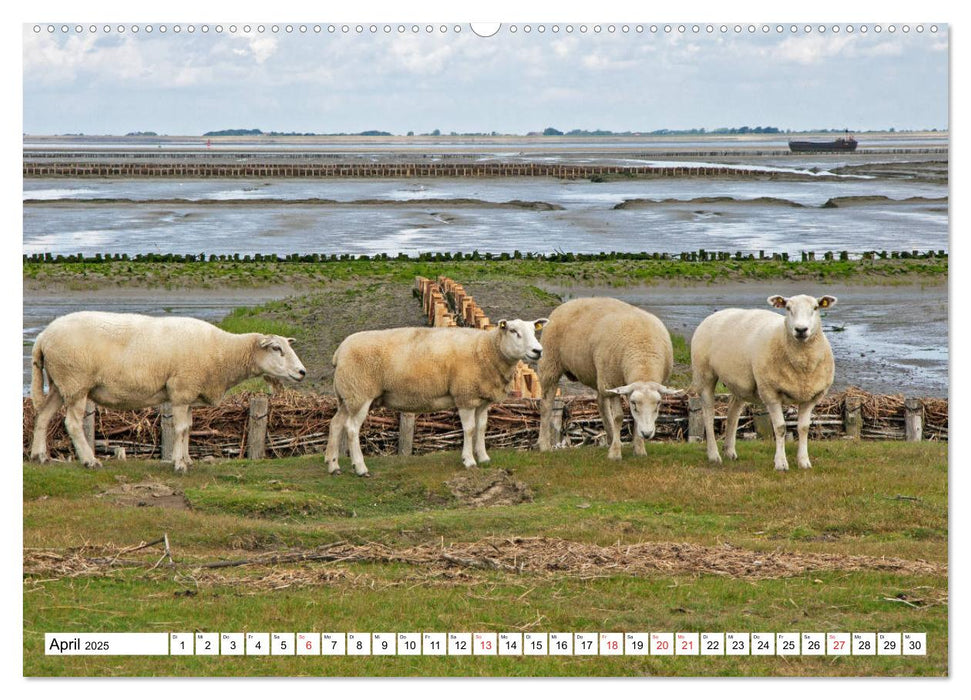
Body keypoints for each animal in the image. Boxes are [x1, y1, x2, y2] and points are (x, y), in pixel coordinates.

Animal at [30, 314, 306, 474]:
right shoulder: (181, 389)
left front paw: (187, 459)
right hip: (76, 382)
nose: (302, 372)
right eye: (277, 349)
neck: (223, 352)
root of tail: (43, 337)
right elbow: (181, 429)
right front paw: (180, 464)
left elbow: (189, 428)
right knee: (73, 423)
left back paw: (39, 456)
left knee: (43, 416)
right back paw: (89, 460)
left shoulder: (189, 393)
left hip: (60, 383)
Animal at [326, 318, 552, 476]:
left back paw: (333, 465)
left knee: (336, 424)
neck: (486, 349)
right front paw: (469, 460)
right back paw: (360, 468)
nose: (538, 351)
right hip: (360, 392)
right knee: (351, 428)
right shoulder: (465, 395)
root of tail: (339, 351)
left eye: (534, 331)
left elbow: (481, 428)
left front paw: (484, 457)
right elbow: (469, 429)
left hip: (347, 396)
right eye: (514, 331)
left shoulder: (481, 400)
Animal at [536, 298, 680, 462]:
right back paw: (544, 445)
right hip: (550, 363)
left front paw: (639, 448)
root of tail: (568, 303)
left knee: (601, 402)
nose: (647, 434)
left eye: (658, 403)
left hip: (599, 374)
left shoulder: (618, 383)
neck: (643, 359)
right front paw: (615, 453)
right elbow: (618, 417)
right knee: (546, 404)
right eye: (634, 404)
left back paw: (611, 438)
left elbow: (632, 419)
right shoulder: (612, 382)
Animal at [688, 292, 840, 474]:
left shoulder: (811, 396)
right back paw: (714, 455)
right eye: (787, 308)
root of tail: (716, 314)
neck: (802, 363)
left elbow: (803, 428)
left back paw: (729, 451)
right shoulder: (770, 392)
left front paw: (804, 461)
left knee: (733, 413)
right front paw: (781, 463)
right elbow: (780, 428)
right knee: (709, 415)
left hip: (740, 383)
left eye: (816, 308)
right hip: (704, 374)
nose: (801, 330)